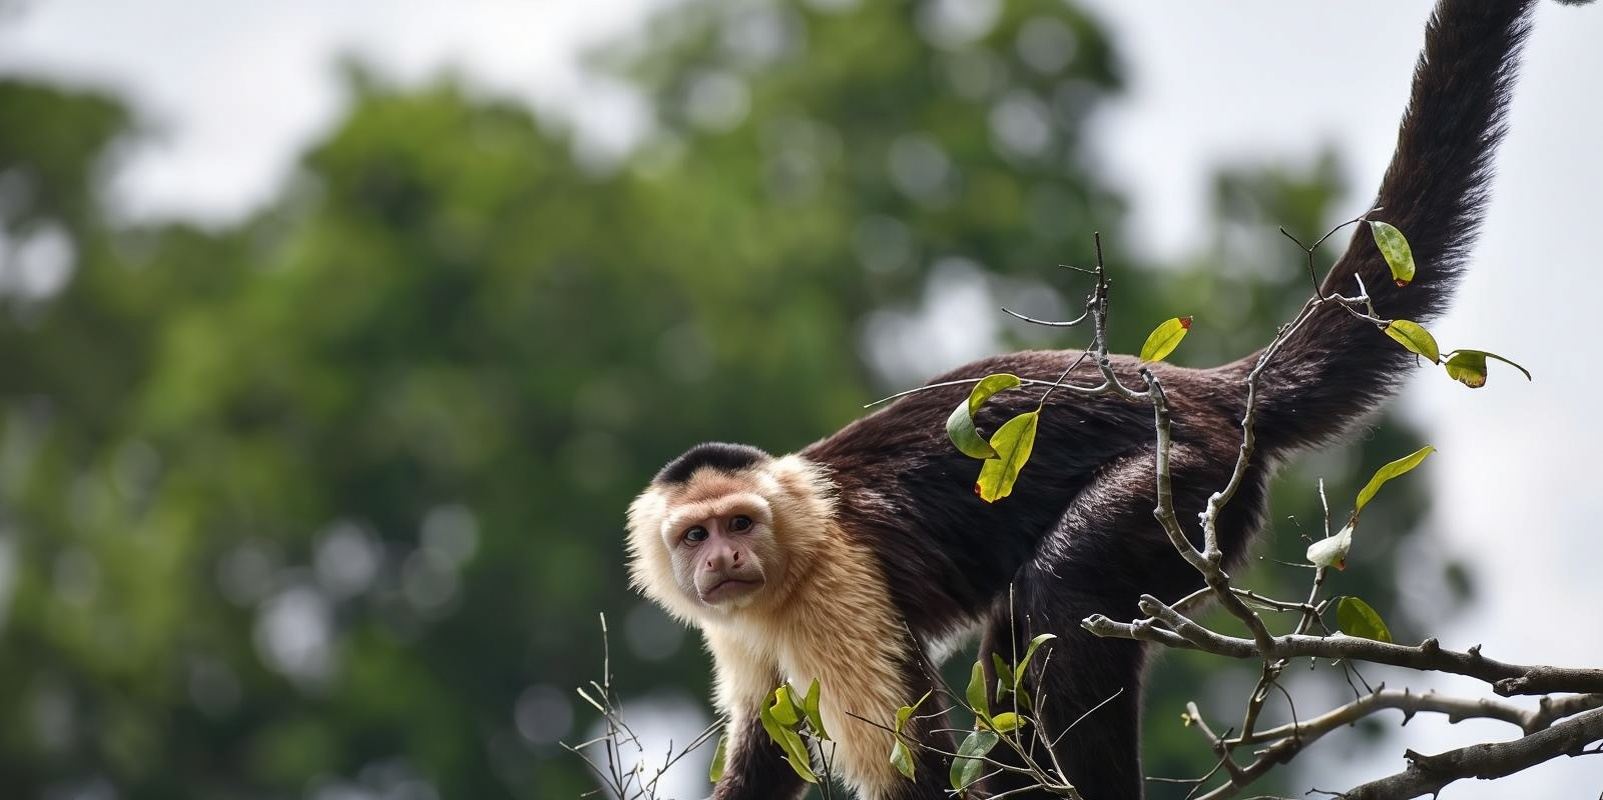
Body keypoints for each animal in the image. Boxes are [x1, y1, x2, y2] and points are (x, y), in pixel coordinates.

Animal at [625, 2, 1570, 798]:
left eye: (740, 523)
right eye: (696, 536)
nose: (722, 560)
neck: (788, 563)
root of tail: (1203, 390)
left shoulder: (838, 586)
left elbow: (912, 765)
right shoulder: (740, 630)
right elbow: (762, 752)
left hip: (1189, 480)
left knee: (1062, 591)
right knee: (1021, 627)